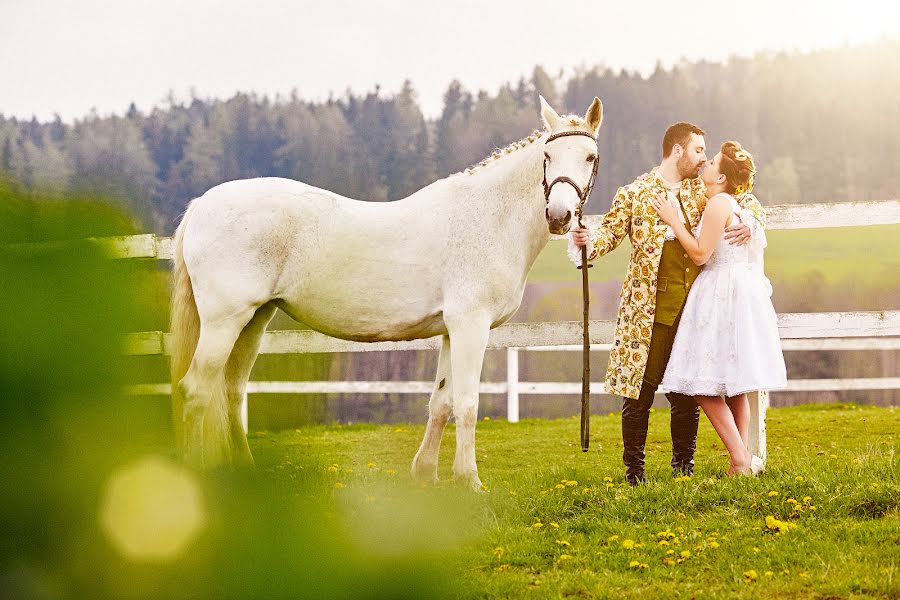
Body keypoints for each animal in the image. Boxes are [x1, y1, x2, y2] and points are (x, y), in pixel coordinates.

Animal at [169, 96, 604, 490]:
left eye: (589, 156)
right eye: (547, 155)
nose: (559, 216)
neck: (487, 218)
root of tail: (202, 204)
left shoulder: (451, 331)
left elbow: (441, 402)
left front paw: (425, 473)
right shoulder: (470, 327)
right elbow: (466, 404)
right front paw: (469, 481)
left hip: (254, 321)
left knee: (230, 392)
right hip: (224, 322)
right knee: (196, 391)